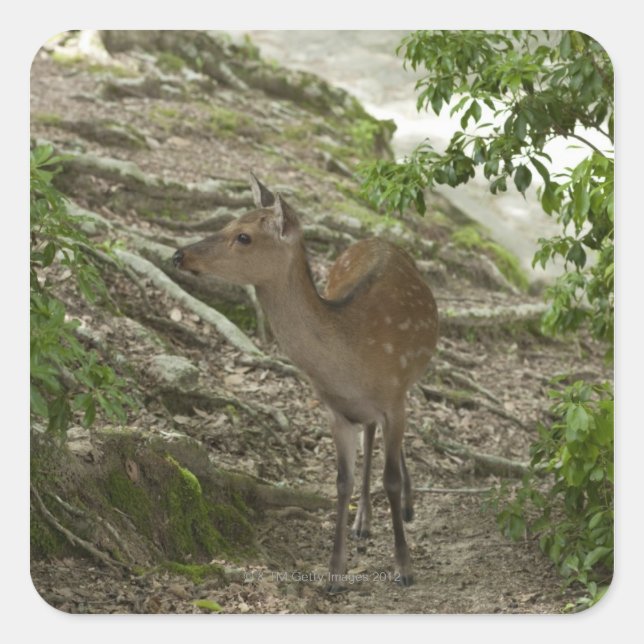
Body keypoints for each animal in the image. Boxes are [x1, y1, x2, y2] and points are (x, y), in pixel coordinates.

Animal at [172, 173, 439, 593]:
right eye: (229, 221)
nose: (179, 255)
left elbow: (391, 479)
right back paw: (363, 522)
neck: (352, 357)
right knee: (370, 435)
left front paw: (404, 567)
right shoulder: (335, 409)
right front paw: (334, 573)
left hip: (407, 385)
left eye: (244, 236)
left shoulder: (394, 397)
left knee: (386, 444)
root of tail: (379, 239)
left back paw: (405, 508)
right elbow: (342, 481)